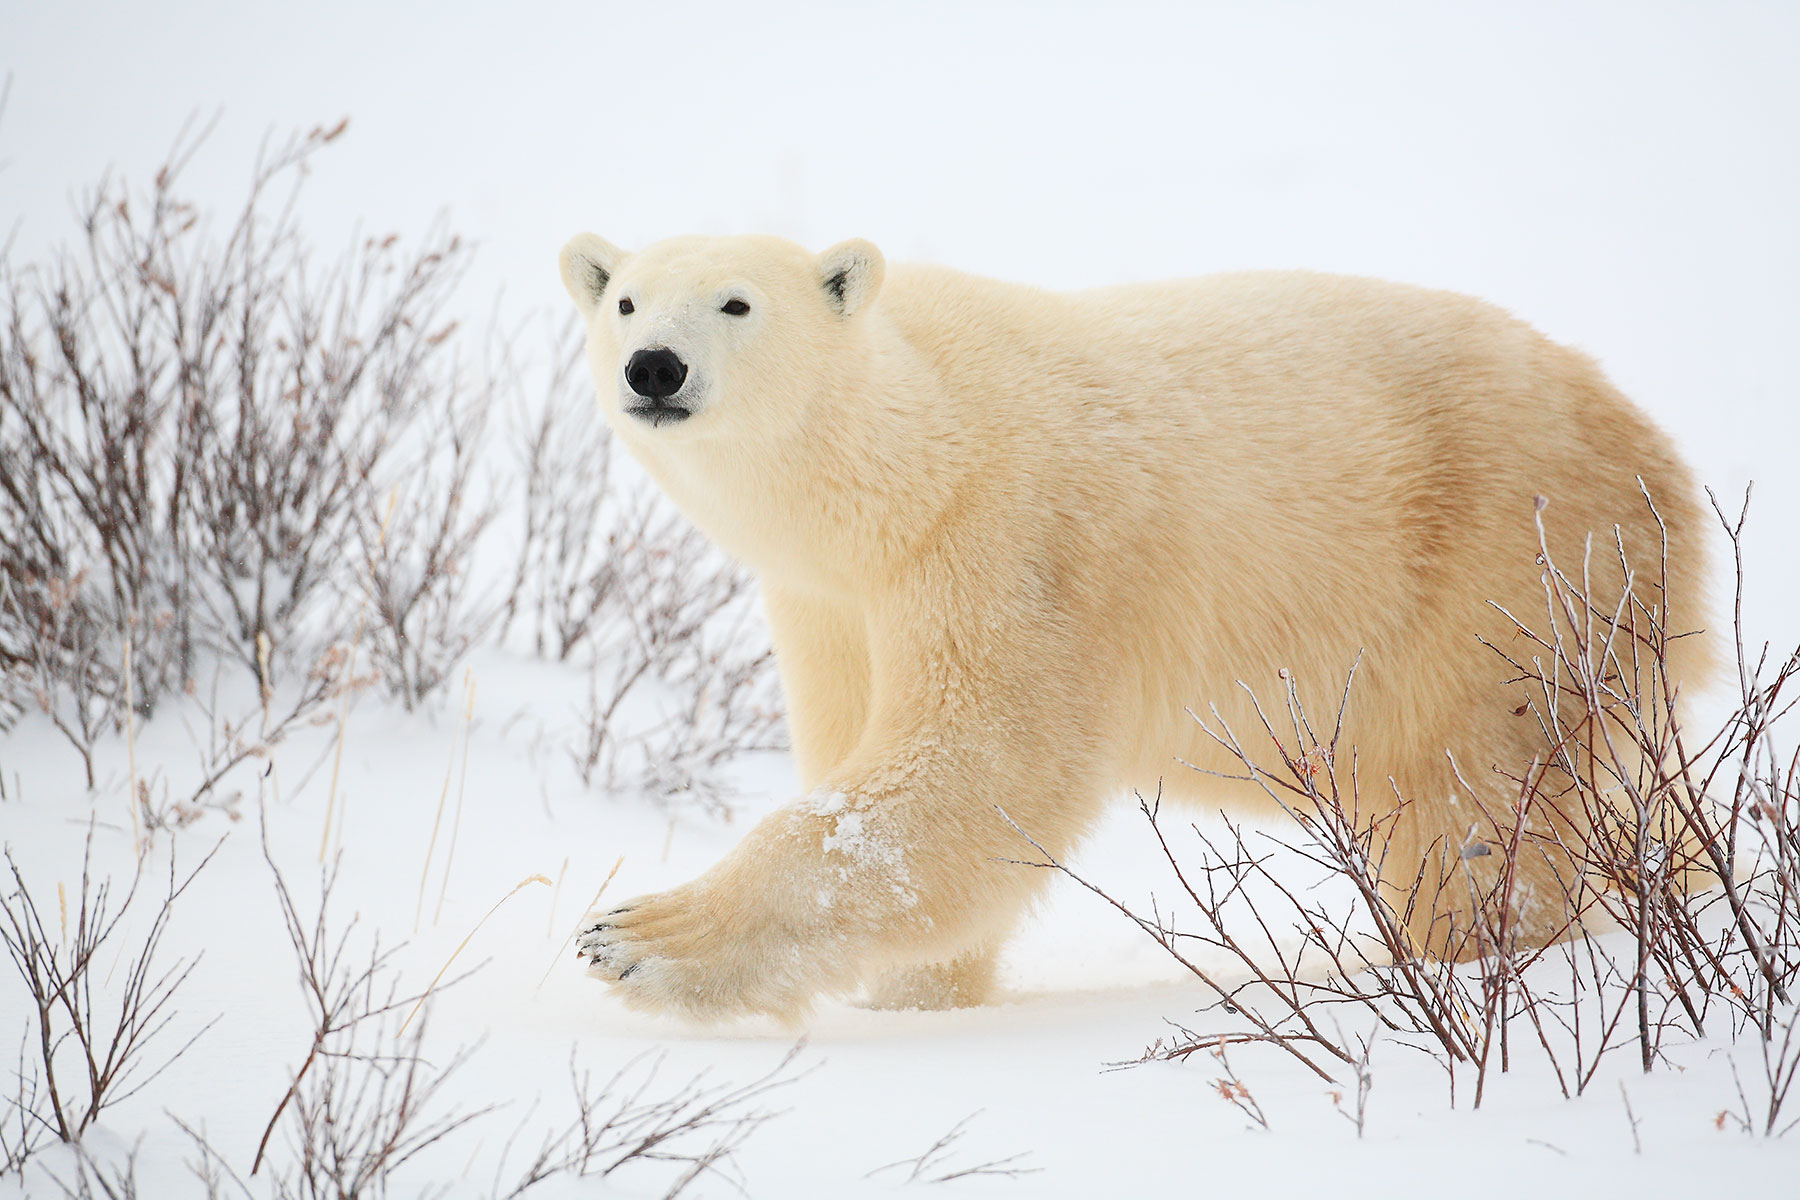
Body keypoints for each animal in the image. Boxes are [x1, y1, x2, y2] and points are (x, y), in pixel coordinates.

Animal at [554, 232, 1706, 1021]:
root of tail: (1652, 450)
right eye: (625, 298)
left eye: (736, 302)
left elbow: (979, 766)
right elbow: (866, 758)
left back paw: (1465, 953)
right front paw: (920, 1000)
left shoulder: (1011, 544)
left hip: (1512, 572)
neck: (901, 463)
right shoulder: (831, 602)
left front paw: (636, 934)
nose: (654, 365)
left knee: (1477, 795)